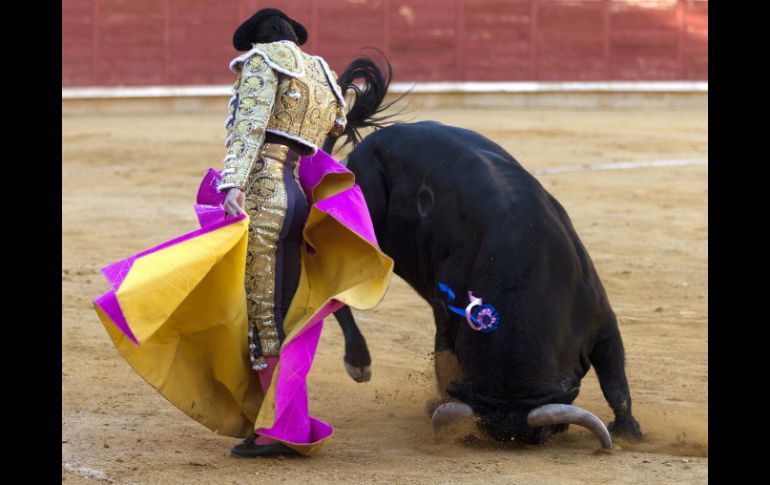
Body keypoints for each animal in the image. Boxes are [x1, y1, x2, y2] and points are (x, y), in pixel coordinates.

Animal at [332, 120, 640, 446]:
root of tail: (372, 142)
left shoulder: (603, 321)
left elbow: (615, 385)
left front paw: (630, 432)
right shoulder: (447, 313)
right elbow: (445, 359)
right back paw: (358, 362)